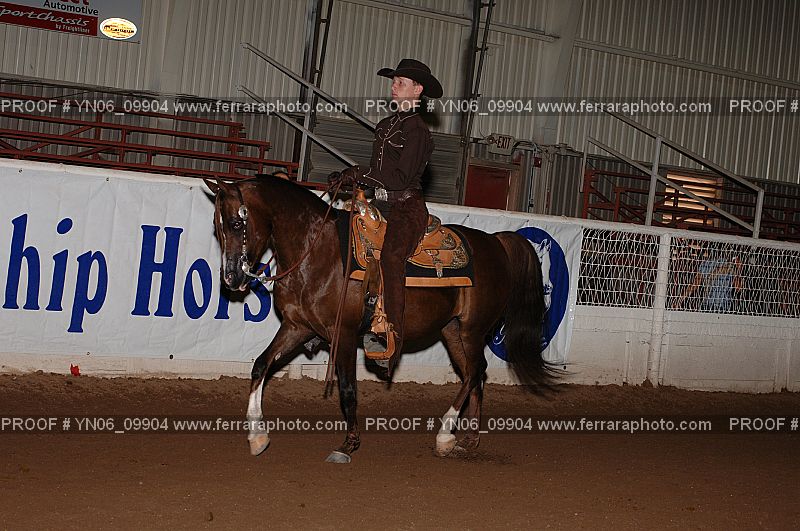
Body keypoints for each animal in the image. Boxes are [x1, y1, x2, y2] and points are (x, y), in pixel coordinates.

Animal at [204, 175, 553, 462]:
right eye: (216, 228)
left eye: (237, 224)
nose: (231, 278)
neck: (318, 252)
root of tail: (496, 241)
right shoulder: (297, 327)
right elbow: (260, 365)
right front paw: (257, 436)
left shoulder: (343, 333)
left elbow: (347, 389)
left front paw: (348, 444)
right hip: (453, 331)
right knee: (473, 373)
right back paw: (468, 439)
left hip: (473, 329)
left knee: (475, 371)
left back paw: (444, 436)